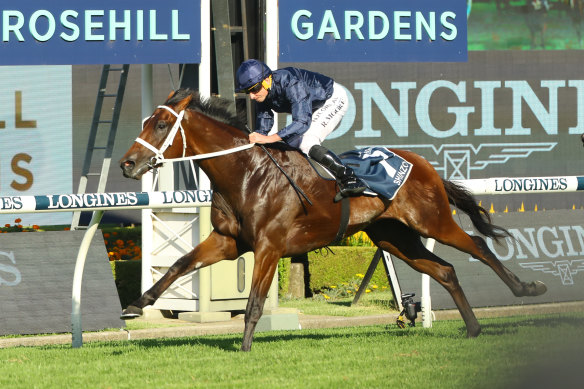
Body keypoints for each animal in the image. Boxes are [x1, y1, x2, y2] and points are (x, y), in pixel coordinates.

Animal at [118, 88, 548, 352]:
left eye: (160, 125)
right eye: (145, 122)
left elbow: (255, 302)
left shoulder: (269, 247)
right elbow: (178, 264)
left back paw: (527, 289)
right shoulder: (228, 242)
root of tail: (423, 162)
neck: (246, 172)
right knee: (445, 270)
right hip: (392, 237)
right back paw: (473, 328)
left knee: (478, 246)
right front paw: (137, 305)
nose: (127, 164)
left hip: (432, 221)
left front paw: (244, 348)